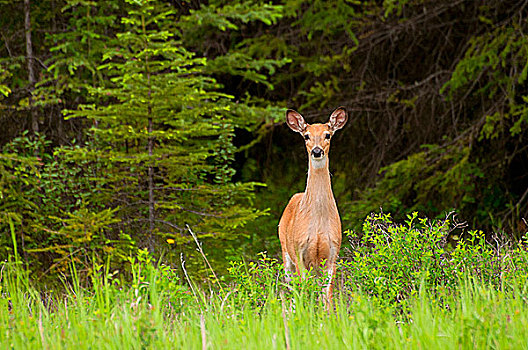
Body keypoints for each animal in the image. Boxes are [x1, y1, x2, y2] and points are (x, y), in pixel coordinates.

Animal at [278, 107, 348, 306]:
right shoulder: (299, 250)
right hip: (286, 253)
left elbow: (327, 297)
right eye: (306, 136)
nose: (317, 151)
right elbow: (303, 292)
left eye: (328, 135)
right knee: (291, 289)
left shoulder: (332, 253)